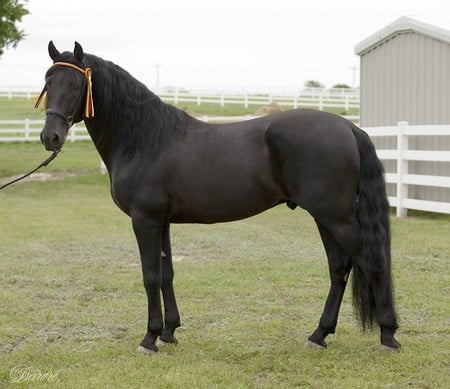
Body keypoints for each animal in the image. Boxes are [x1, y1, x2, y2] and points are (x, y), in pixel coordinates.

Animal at [37, 41, 400, 354]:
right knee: (340, 269)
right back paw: (319, 334)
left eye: (76, 84)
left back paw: (388, 334)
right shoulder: (162, 222)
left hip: (336, 216)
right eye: (48, 81)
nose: (49, 137)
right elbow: (167, 274)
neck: (144, 139)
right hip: (326, 217)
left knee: (370, 261)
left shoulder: (145, 220)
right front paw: (169, 332)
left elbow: (150, 277)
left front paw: (150, 338)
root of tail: (349, 128)